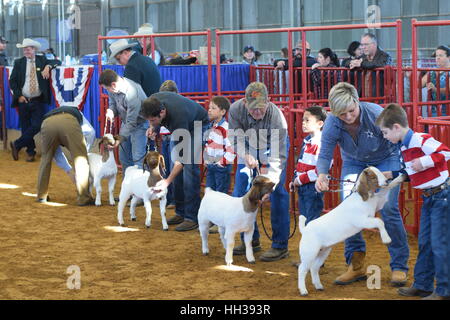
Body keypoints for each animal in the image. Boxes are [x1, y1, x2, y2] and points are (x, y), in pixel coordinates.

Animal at [298, 166, 406, 296]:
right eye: (372, 176)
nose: (386, 180)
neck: (362, 198)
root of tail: (305, 229)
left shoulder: (378, 203)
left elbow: (385, 192)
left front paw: (399, 178)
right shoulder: (362, 221)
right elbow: (379, 221)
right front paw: (387, 239)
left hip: (323, 251)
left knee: (314, 267)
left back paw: (319, 286)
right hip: (309, 251)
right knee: (302, 269)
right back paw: (303, 290)